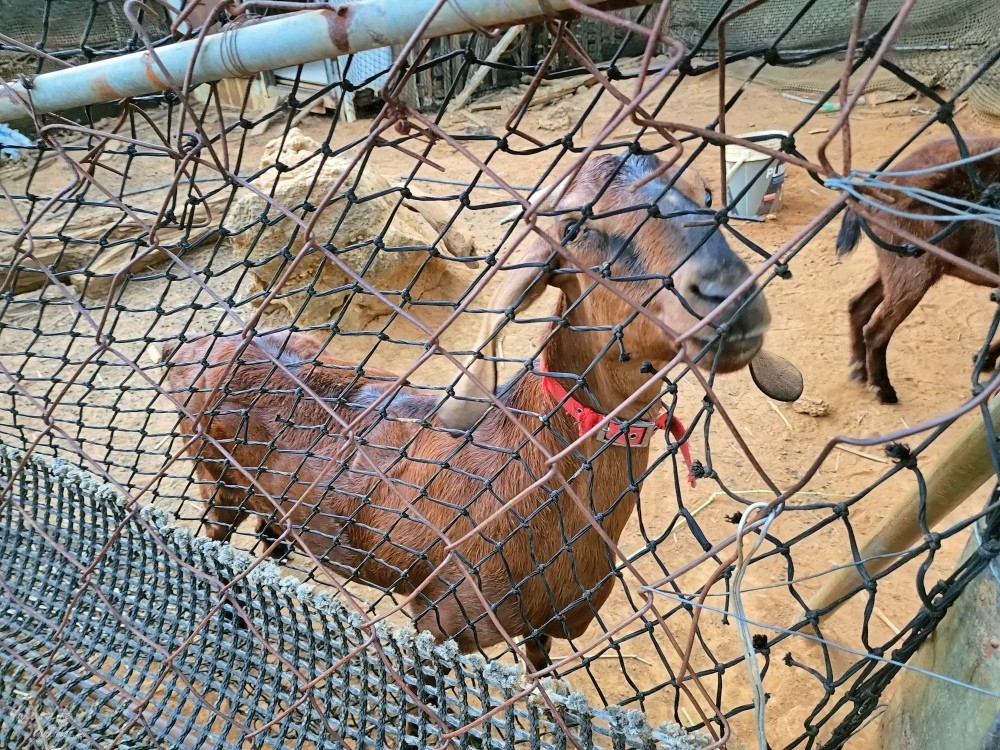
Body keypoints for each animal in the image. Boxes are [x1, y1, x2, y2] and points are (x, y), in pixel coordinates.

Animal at [162, 151, 788, 668]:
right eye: (575, 227)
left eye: (707, 195)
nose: (726, 293)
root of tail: (193, 347)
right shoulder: (442, 616)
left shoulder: (544, 626)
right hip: (215, 479)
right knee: (213, 537)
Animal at [836, 135, 1000, 406]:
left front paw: (984, 359)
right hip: (913, 273)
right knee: (876, 329)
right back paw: (883, 390)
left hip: (893, 266)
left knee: (858, 304)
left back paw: (859, 370)